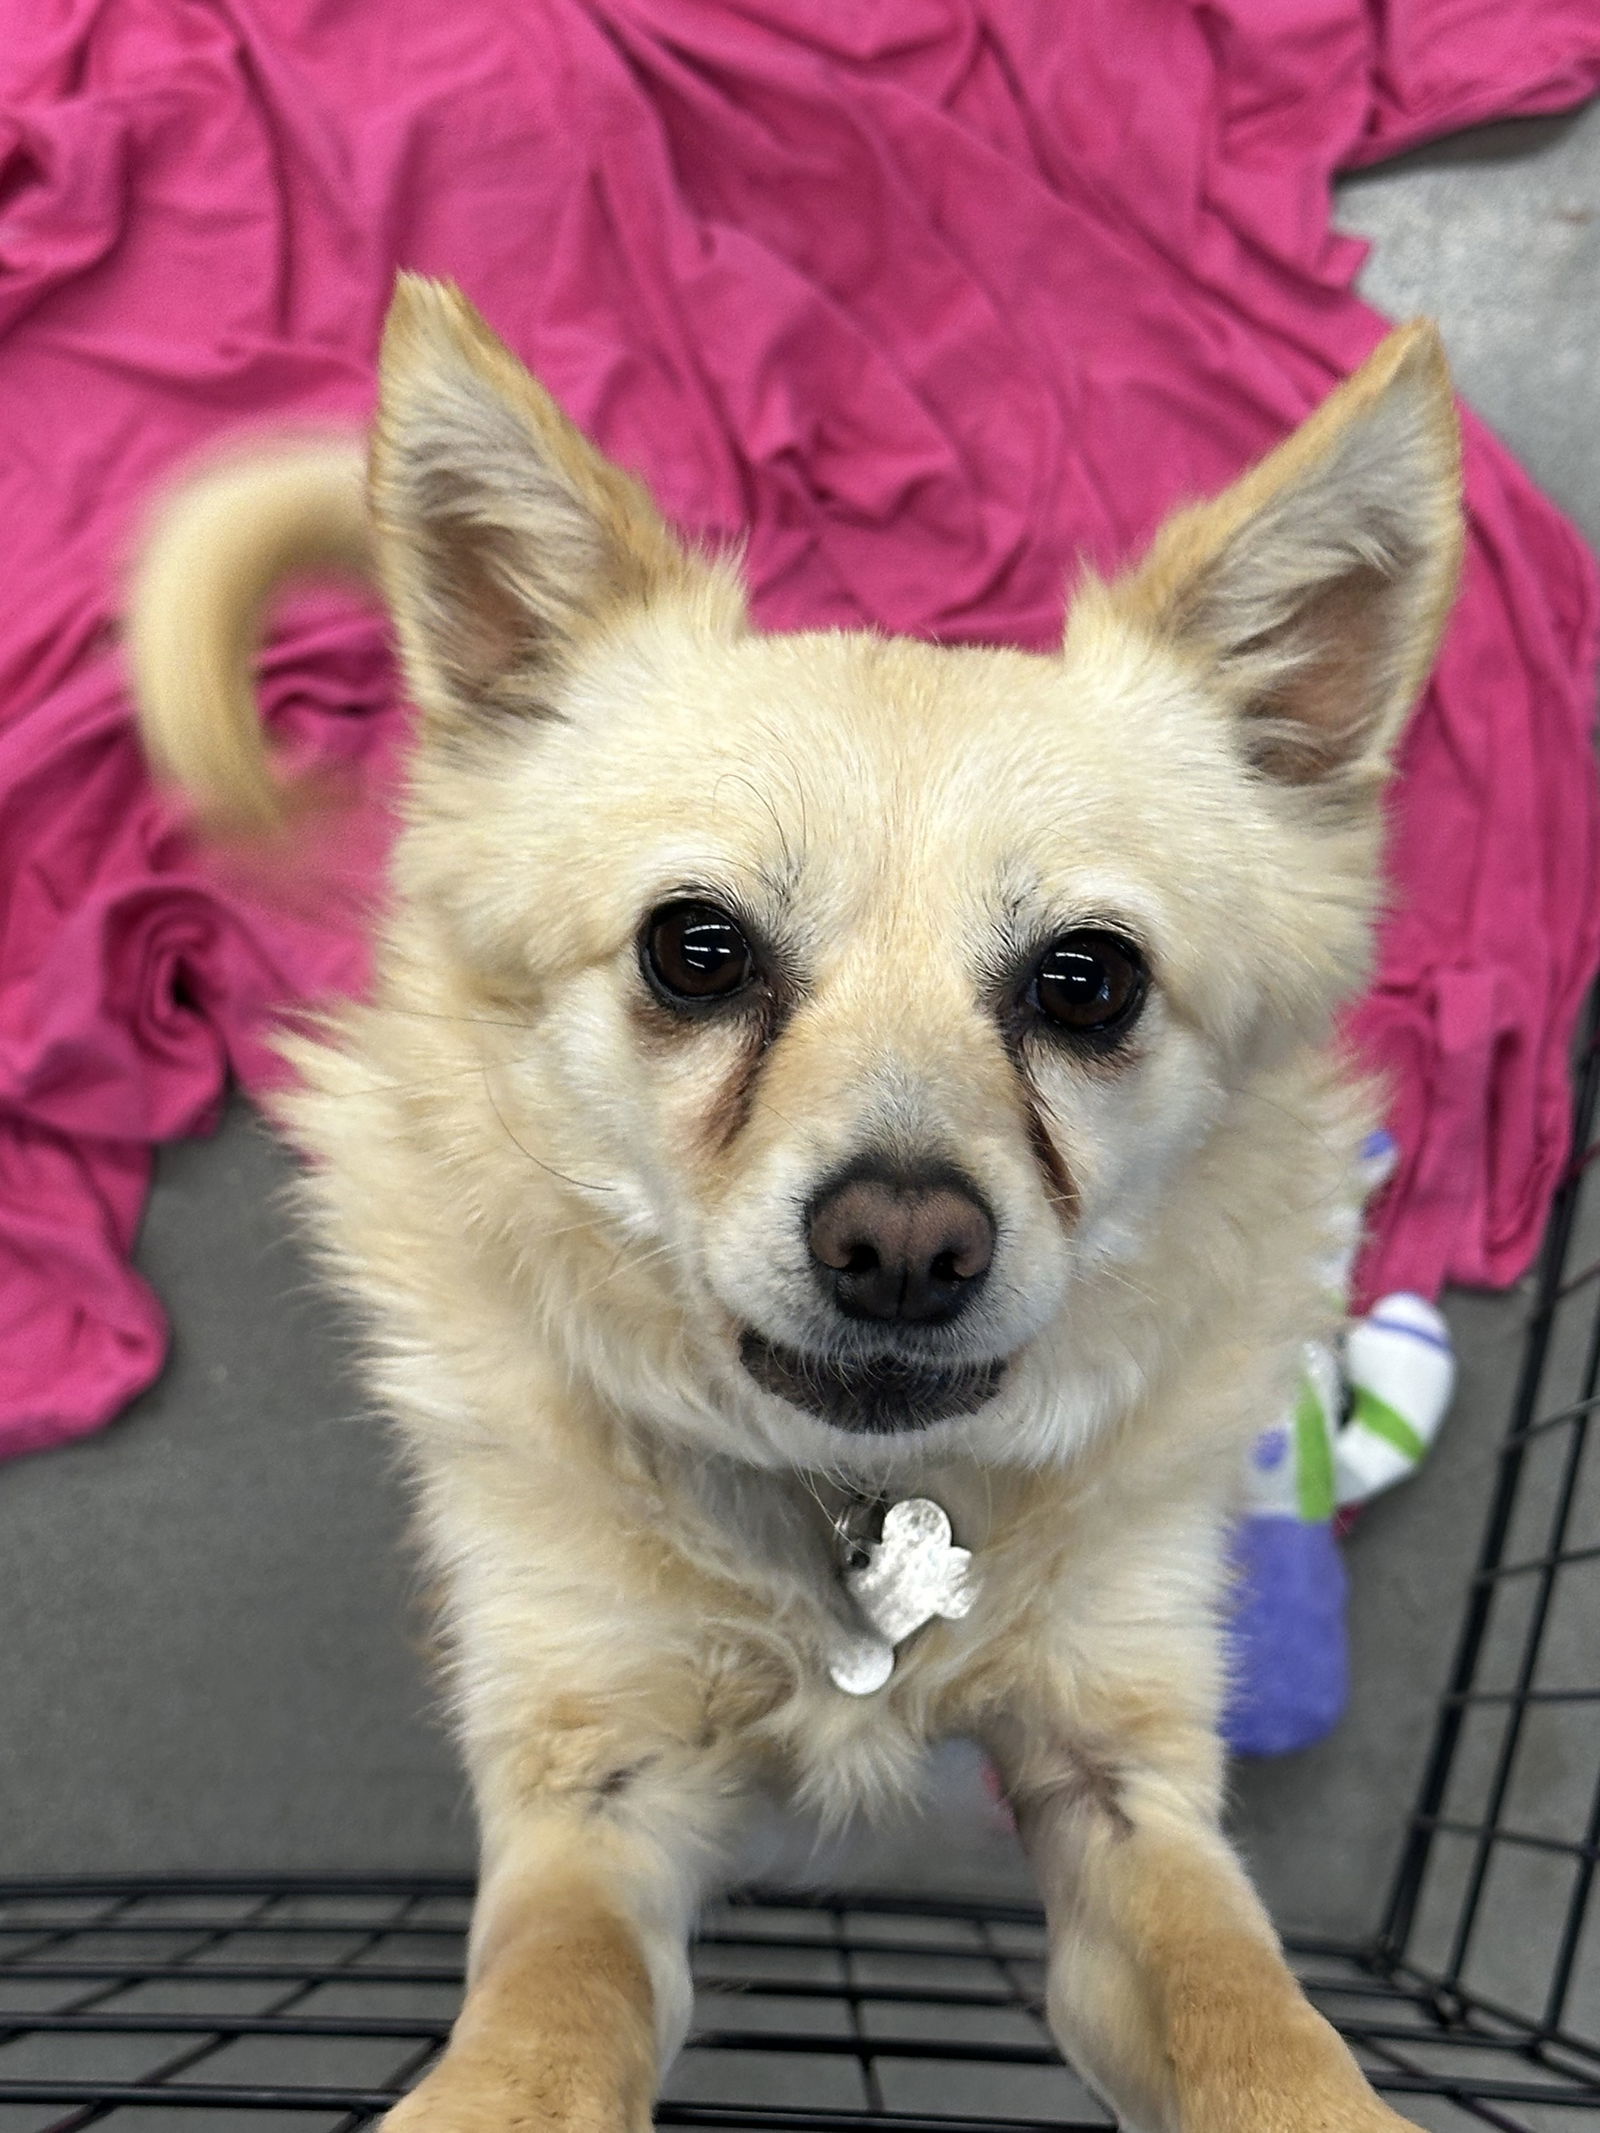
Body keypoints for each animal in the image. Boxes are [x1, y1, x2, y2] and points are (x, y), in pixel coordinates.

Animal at [131, 283, 1467, 2133]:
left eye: (1092, 982)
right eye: (694, 951)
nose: (904, 1242)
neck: (855, 1504)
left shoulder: (1127, 1779)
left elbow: (1251, 2009)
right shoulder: (590, 1787)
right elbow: (551, 2006)